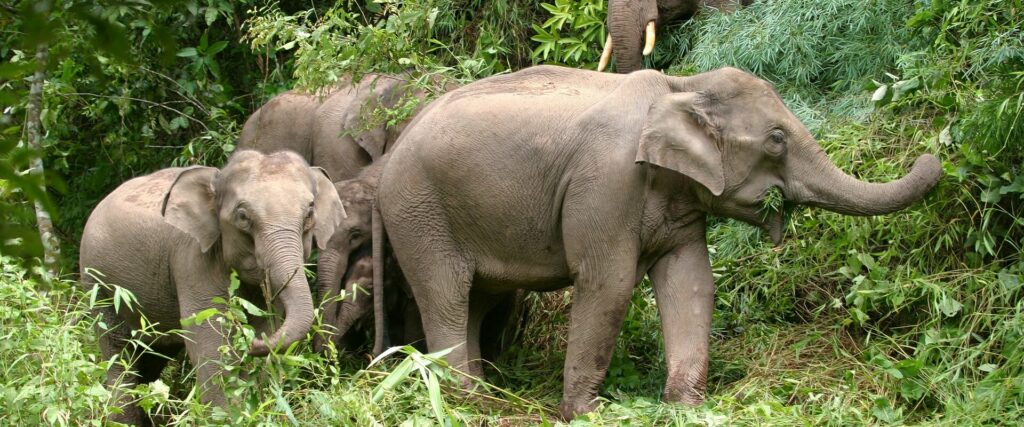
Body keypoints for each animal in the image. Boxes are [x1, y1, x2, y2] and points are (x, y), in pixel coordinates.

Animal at [79, 150, 346, 424]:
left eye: (309, 213)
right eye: (243, 217)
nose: (252, 345)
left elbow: (265, 329)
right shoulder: (193, 261)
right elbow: (211, 347)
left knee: (150, 357)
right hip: (98, 283)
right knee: (118, 350)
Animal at [376, 65, 942, 419]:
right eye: (777, 139)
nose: (934, 152)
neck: (682, 85)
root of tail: (388, 153)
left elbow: (691, 282)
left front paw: (687, 407)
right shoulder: (605, 183)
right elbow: (608, 283)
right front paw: (587, 414)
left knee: (477, 299)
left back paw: (482, 397)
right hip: (419, 212)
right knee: (446, 296)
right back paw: (460, 403)